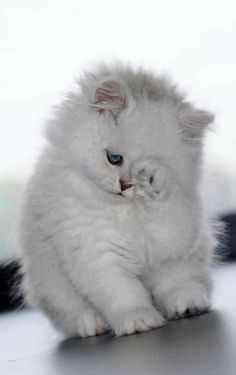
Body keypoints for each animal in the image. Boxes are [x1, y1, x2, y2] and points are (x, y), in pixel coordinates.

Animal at [18, 64, 218, 338]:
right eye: (114, 158)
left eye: (143, 173)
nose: (125, 185)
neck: (124, 211)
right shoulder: (96, 250)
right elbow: (122, 294)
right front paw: (139, 320)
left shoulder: (177, 228)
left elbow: (167, 219)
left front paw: (154, 180)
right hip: (49, 284)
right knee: (71, 313)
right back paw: (91, 325)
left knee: (180, 285)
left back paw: (188, 303)